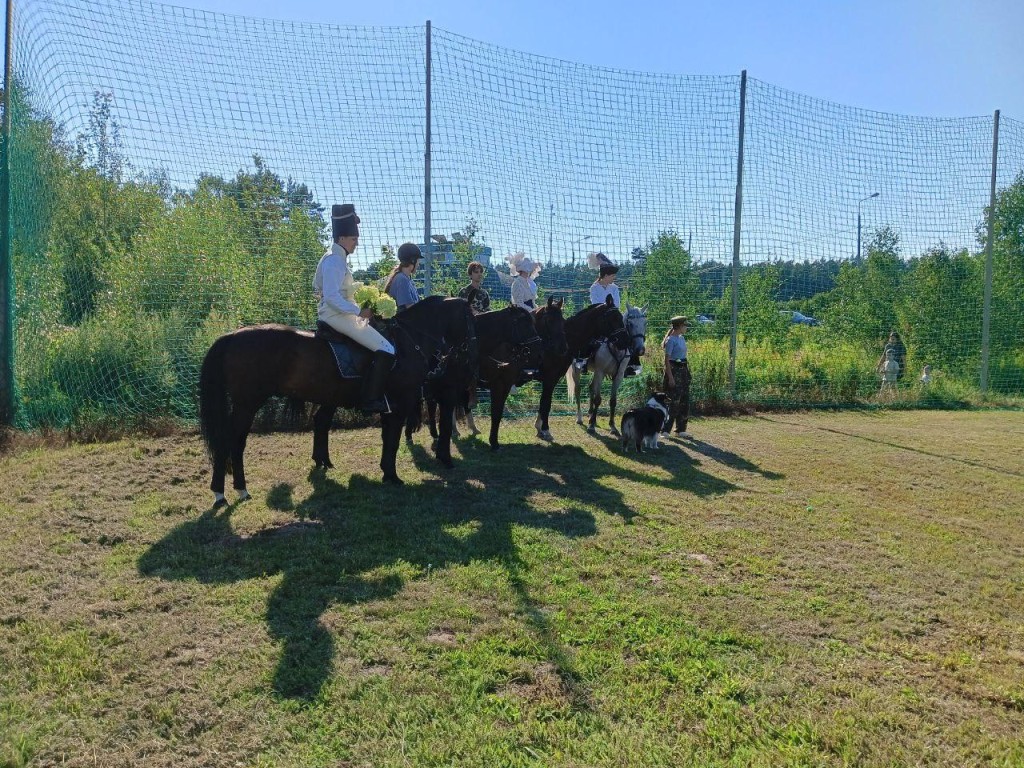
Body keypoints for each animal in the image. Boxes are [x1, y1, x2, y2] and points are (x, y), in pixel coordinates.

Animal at [200, 290, 479, 501]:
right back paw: (227, 492)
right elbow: (394, 440)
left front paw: (386, 472)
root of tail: (232, 336)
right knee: (231, 441)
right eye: (470, 316)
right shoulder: (402, 405)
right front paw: (393, 475)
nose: (470, 353)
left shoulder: (391, 408)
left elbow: (388, 439)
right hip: (247, 404)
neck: (409, 342)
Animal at [532, 296, 626, 442]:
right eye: (612, 318)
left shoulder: (551, 380)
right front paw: (545, 429)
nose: (626, 340)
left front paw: (540, 427)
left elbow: (544, 403)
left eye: (621, 317)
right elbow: (546, 404)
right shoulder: (550, 379)